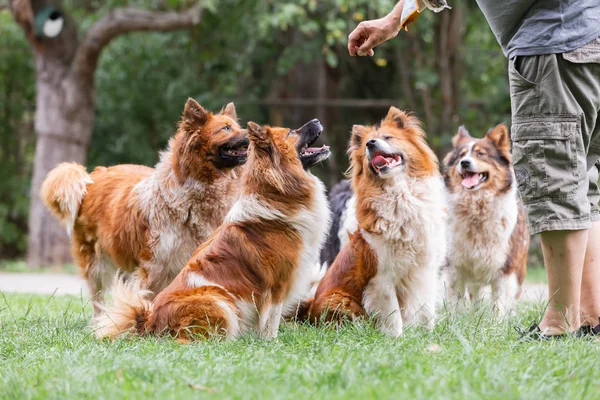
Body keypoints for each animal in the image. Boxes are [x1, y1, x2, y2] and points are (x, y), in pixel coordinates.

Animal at [41, 97, 248, 316]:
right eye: (225, 128)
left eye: (237, 126)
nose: (252, 132)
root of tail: (91, 179)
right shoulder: (155, 265)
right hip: (96, 264)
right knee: (98, 298)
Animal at [440, 123, 528, 314]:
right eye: (461, 155)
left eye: (481, 154)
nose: (464, 163)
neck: (477, 210)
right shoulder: (454, 266)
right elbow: (455, 302)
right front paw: (454, 319)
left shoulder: (505, 269)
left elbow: (498, 306)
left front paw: (496, 321)